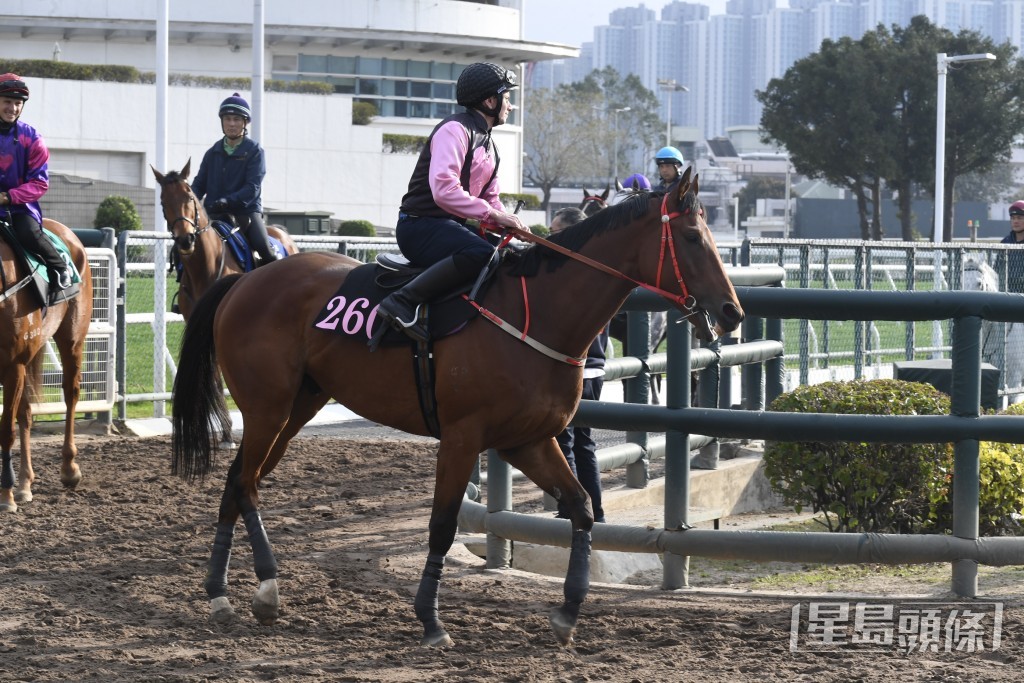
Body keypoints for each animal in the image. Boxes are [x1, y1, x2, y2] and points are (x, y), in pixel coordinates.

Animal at [0, 219, 92, 511]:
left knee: (71, 393)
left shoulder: (13, 365)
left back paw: (69, 469)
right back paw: (25, 483)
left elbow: (6, 431)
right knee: (26, 413)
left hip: (72, 339)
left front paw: (5, 496)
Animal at [169, 169, 745, 647]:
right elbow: (443, 525)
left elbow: (581, 508)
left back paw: (220, 593)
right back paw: (265, 589)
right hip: (267, 408)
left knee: (237, 483)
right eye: (692, 238)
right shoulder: (464, 438)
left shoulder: (527, 441)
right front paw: (430, 619)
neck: (535, 316)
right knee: (245, 484)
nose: (732, 312)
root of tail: (244, 280)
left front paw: (567, 613)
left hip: (295, 411)